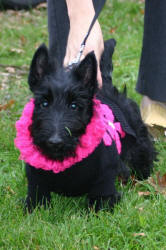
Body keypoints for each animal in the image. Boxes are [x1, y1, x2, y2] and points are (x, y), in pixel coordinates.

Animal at [21, 39, 156, 211]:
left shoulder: (104, 180)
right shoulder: (36, 182)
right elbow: (36, 201)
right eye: (44, 103)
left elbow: (100, 203)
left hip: (138, 141)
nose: (55, 142)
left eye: (74, 105)